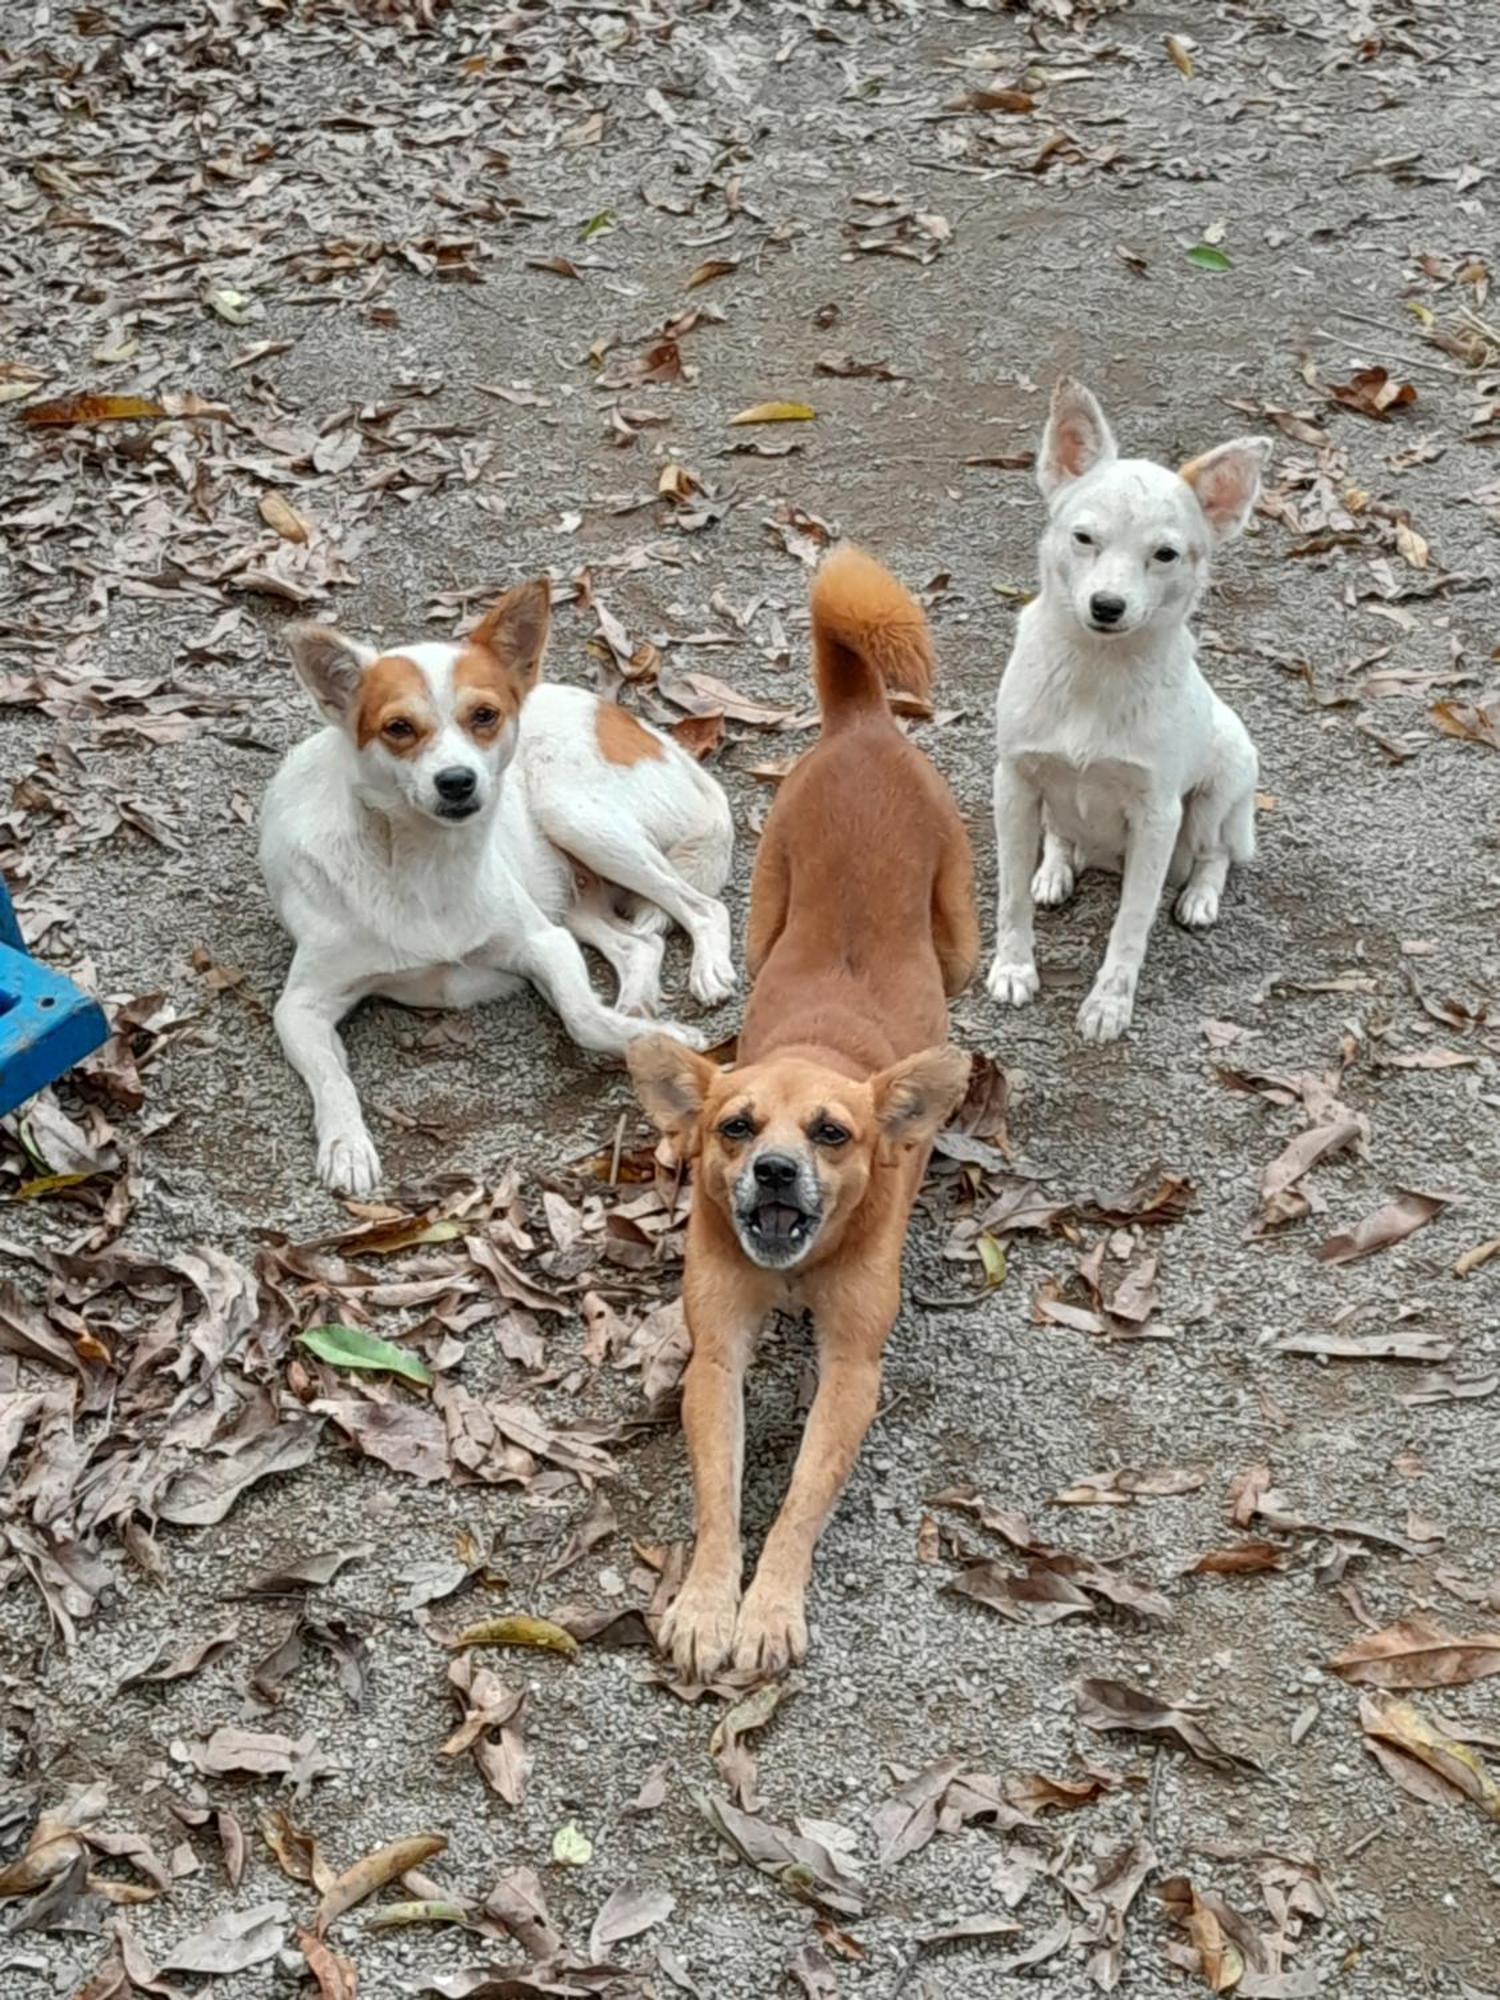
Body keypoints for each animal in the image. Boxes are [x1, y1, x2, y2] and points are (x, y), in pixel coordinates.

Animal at [262, 580, 736, 1200]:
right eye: (398, 728)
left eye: (483, 715)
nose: (457, 782)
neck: (423, 863)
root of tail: (635, 723)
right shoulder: (301, 1006)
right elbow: (332, 1077)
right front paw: (346, 1144)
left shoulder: (543, 943)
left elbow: (582, 1017)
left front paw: (659, 1039)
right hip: (566, 890)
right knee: (642, 943)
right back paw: (637, 1000)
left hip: (574, 816)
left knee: (703, 907)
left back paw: (707, 970)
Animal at [628, 544, 980, 1672]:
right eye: (735, 1126)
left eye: (833, 1133)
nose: (775, 1170)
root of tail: (864, 724)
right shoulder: (717, 1354)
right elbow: (722, 1494)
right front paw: (708, 1601)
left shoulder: (853, 1369)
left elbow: (795, 1502)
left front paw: (770, 1606)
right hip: (763, 905)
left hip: (962, 930)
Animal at [992, 374, 1272, 1048]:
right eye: (1084, 537)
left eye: (1165, 554)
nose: (1107, 605)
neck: (1095, 672)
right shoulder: (1013, 784)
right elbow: (1010, 898)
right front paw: (1012, 968)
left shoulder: (1157, 815)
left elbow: (1130, 925)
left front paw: (1109, 1004)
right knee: (1061, 837)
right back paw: (1055, 870)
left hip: (1217, 793)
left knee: (1217, 855)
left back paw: (1199, 898)